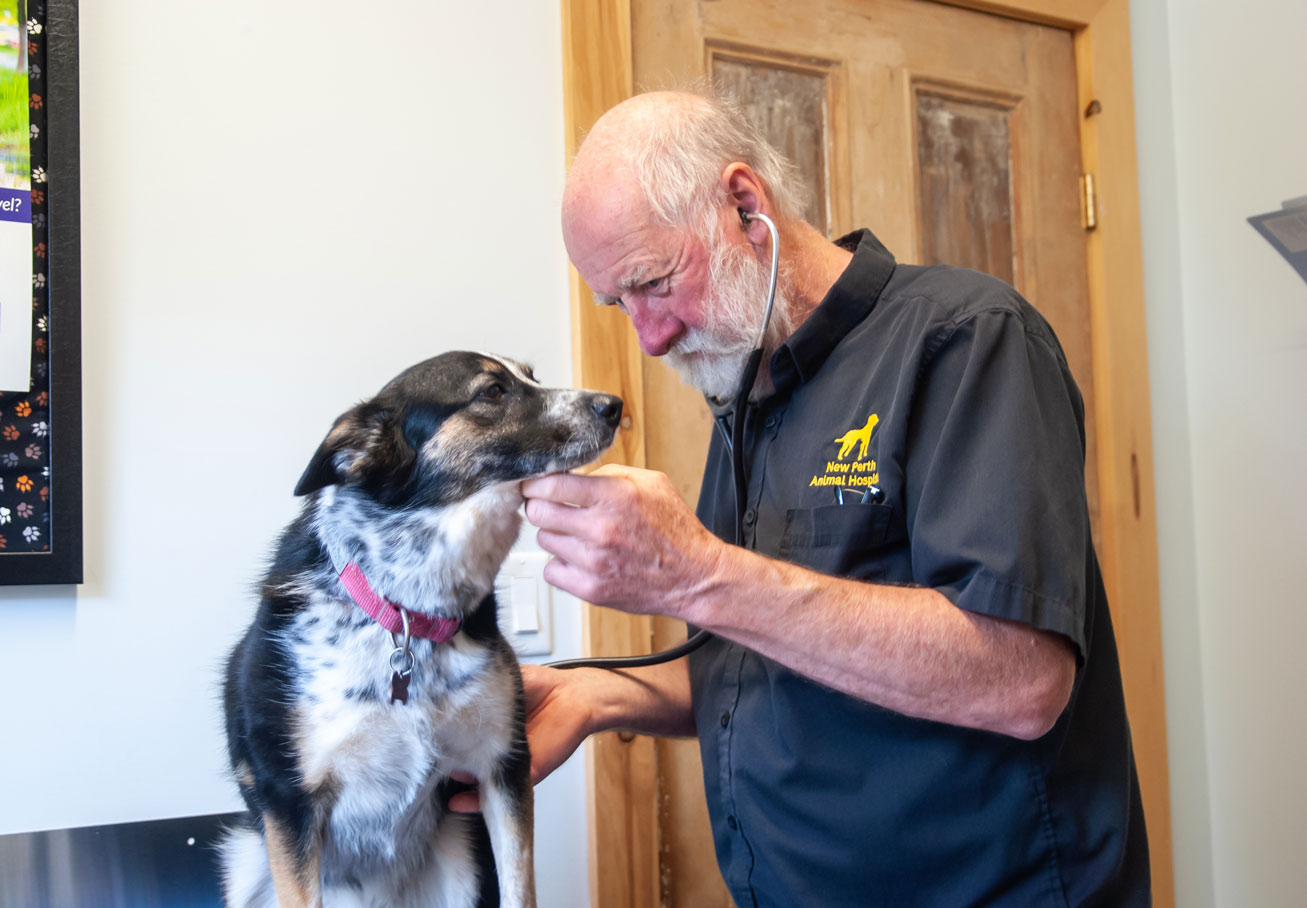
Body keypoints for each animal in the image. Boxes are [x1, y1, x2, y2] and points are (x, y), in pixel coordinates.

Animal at [219, 352, 622, 908]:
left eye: (532, 377)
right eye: (492, 390)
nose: (615, 405)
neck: (406, 614)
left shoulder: (502, 767)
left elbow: (520, 888)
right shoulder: (290, 802)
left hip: (461, 858)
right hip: (245, 862)